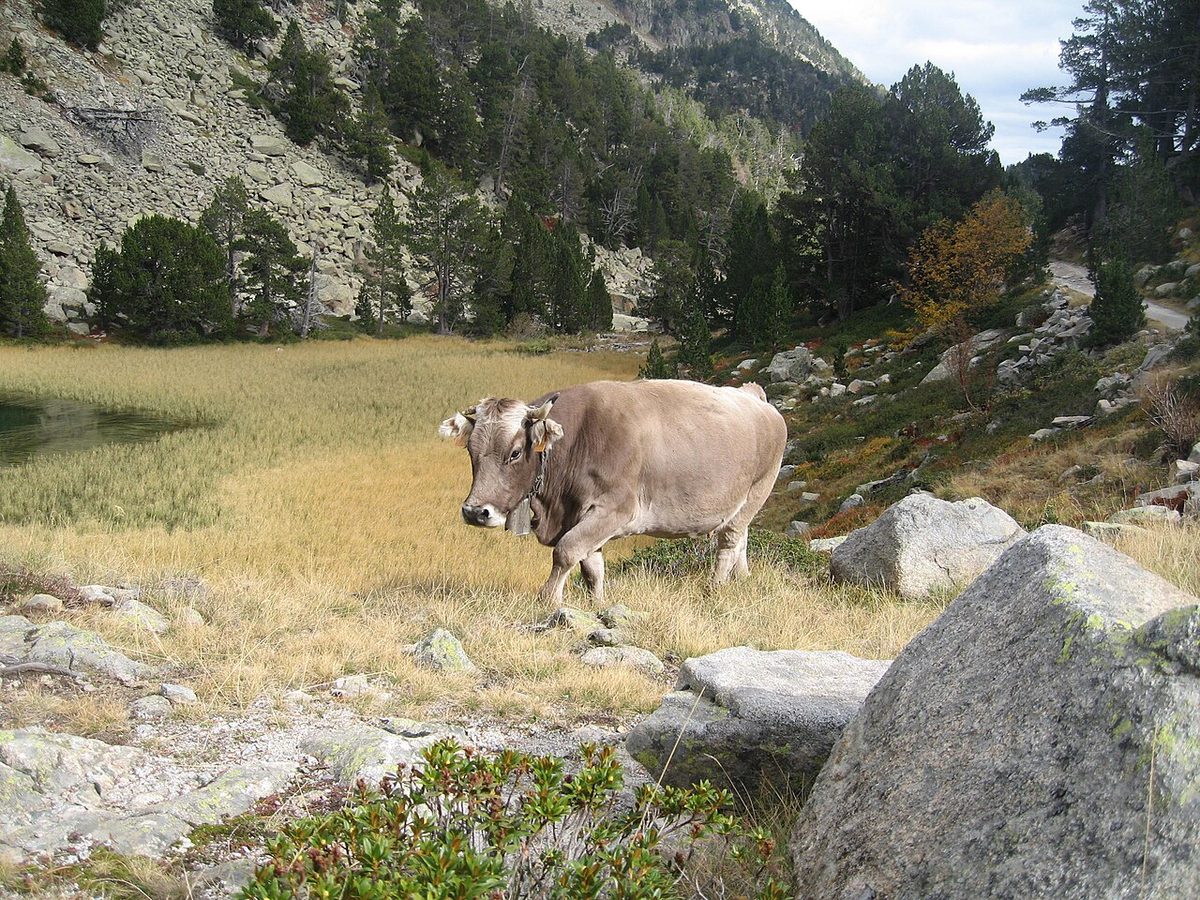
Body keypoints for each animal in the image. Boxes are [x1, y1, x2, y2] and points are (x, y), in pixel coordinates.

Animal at [439, 379, 787, 605]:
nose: (475, 512)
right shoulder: (581, 515)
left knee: (728, 543)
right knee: (741, 540)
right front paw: (598, 605)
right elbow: (591, 566)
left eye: (514, 453)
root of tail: (752, 396)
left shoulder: (615, 509)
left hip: (756, 494)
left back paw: (714, 589)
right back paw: (741, 580)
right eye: (471, 450)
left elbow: (566, 551)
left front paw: (550, 599)